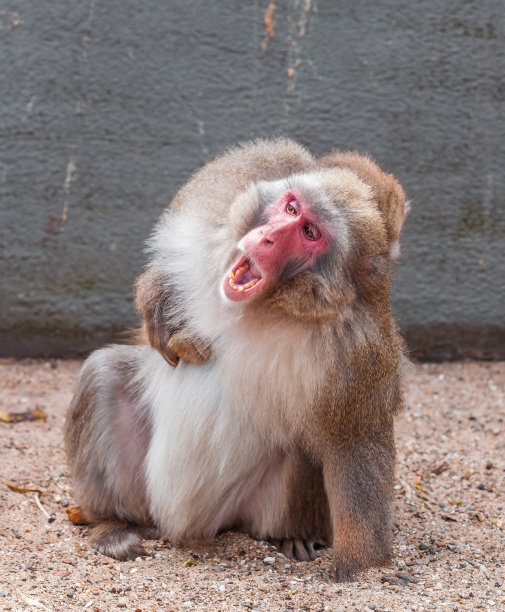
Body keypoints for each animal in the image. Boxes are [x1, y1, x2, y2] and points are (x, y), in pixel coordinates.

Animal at [65, 139, 408, 584]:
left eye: (309, 233)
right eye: (291, 208)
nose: (266, 239)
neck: (265, 307)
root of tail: (185, 528)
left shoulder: (358, 350)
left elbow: (355, 439)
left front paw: (368, 569)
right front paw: (158, 303)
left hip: (251, 509)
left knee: (303, 450)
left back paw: (288, 537)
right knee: (102, 376)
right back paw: (114, 524)